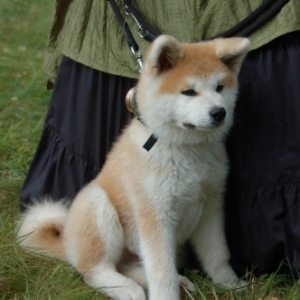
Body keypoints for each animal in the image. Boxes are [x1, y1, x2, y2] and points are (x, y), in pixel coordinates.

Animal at [16, 35, 251, 300]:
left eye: (220, 87)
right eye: (189, 92)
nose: (219, 113)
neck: (184, 150)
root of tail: (66, 243)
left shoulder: (211, 205)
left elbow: (217, 254)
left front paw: (229, 283)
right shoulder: (155, 215)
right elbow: (162, 271)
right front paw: (167, 297)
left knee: (129, 266)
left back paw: (174, 283)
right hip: (97, 205)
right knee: (95, 270)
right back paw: (127, 289)